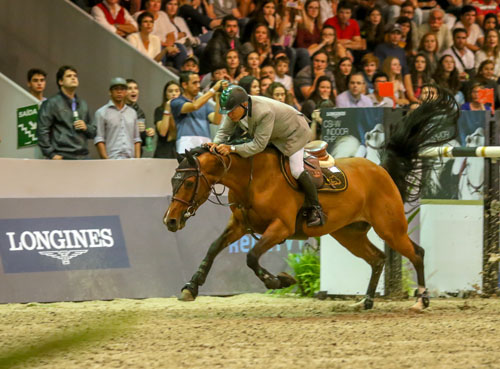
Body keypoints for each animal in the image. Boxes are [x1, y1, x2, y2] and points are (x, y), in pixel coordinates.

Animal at [164, 87, 458, 310]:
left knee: (416, 253)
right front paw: (191, 287)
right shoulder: (240, 225)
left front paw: (280, 281)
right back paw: (365, 301)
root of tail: (381, 169)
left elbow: (252, 257)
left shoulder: (280, 228)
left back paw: (421, 300)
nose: (170, 221)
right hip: (349, 233)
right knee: (377, 259)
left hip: (390, 228)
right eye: (172, 181)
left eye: (188, 182)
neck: (251, 178)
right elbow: (213, 248)